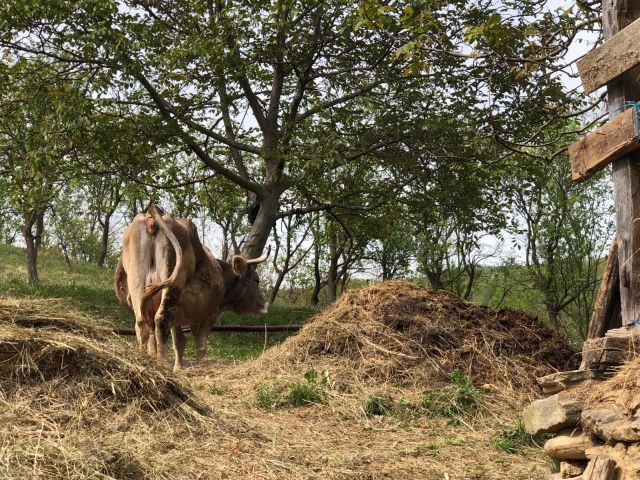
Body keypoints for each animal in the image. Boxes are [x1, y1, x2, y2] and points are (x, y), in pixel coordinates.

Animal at [115, 204, 268, 370]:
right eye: (256, 280)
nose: (264, 304)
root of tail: (154, 213)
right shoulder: (209, 316)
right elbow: (200, 346)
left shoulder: (178, 318)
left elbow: (179, 342)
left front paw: (178, 368)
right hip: (173, 281)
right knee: (161, 320)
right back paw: (162, 364)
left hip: (138, 284)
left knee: (143, 325)